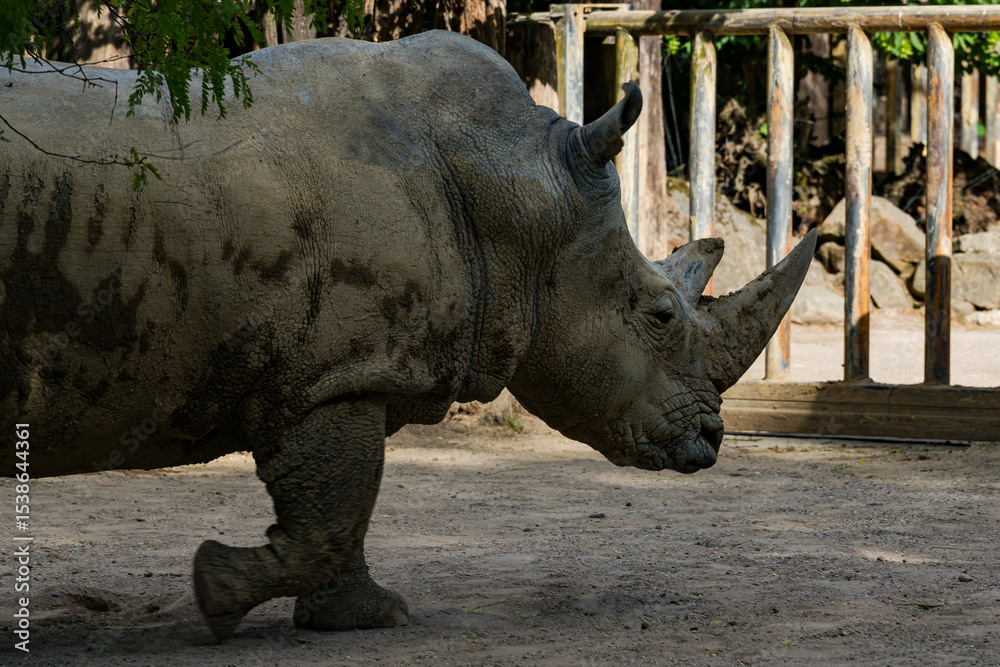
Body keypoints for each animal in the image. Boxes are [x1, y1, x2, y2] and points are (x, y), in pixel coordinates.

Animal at [0, 31, 815, 640]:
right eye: (660, 315)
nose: (712, 439)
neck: (521, 198)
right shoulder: (335, 373)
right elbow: (330, 514)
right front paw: (214, 589)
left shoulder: (348, 372)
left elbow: (343, 509)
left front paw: (362, 619)